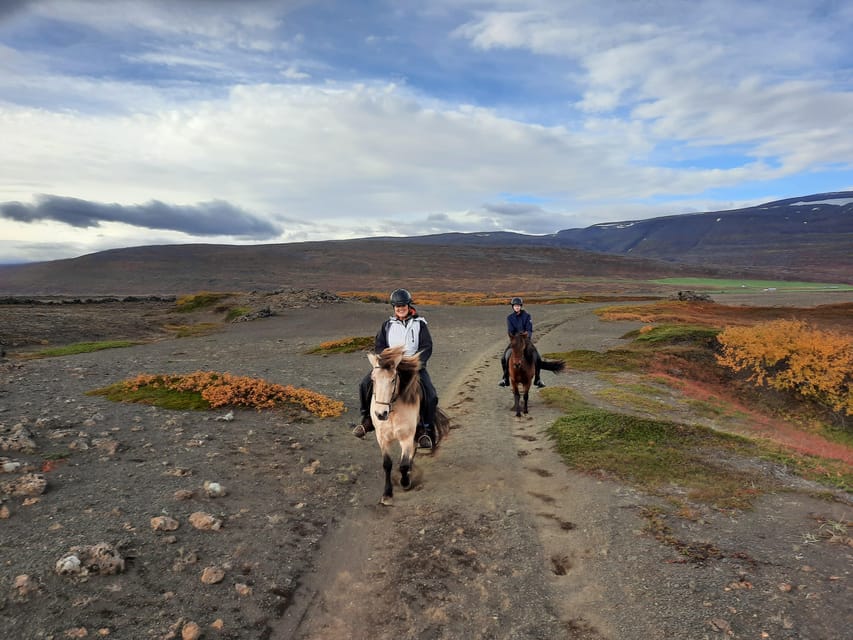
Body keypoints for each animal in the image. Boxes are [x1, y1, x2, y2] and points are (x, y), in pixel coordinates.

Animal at [368, 344, 450, 504]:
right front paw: (387, 494)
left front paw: (405, 482)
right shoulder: (382, 438)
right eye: (373, 379)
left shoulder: (406, 437)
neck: (392, 411)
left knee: (413, 451)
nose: (381, 414)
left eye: (393, 380)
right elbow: (387, 464)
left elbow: (404, 463)